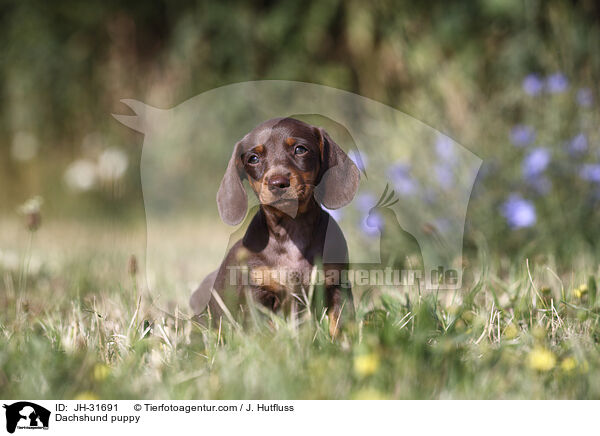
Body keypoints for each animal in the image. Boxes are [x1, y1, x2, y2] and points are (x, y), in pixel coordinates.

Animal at [190, 116, 358, 338]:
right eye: (253, 158)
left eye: (300, 149)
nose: (278, 183)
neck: (291, 230)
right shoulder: (258, 295)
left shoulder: (337, 285)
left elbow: (340, 325)